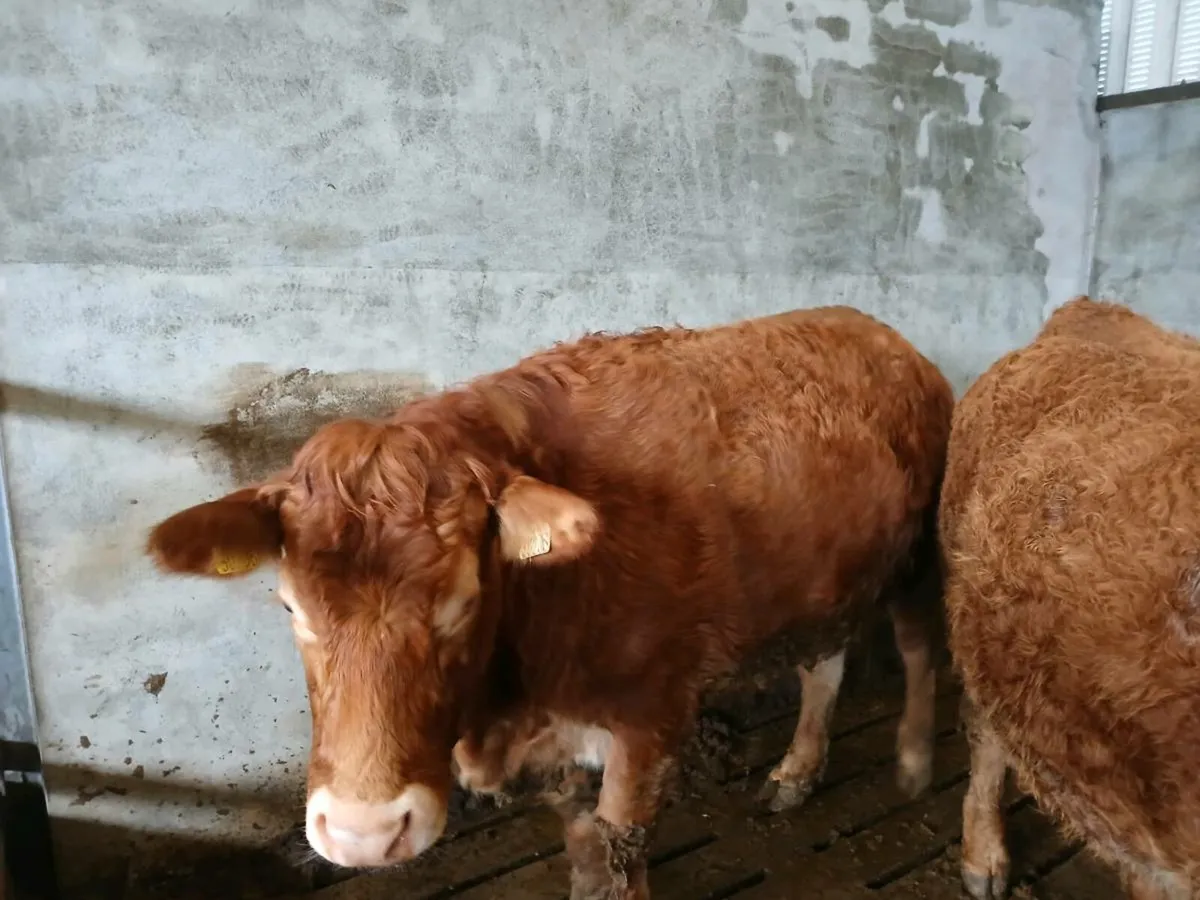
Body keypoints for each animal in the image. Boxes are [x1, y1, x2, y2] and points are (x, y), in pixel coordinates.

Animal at [146, 306, 954, 899]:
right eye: (290, 607)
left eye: (463, 601)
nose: (363, 834)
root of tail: (874, 328)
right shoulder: (560, 742)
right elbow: (584, 843)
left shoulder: (649, 716)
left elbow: (620, 843)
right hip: (828, 577)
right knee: (825, 663)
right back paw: (797, 770)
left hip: (919, 559)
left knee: (919, 651)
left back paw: (915, 766)